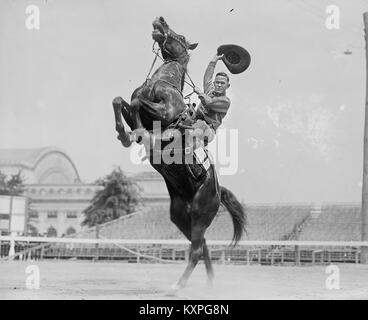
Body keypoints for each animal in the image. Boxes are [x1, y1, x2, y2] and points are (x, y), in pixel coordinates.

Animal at [110, 18, 246, 292]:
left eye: (180, 36)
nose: (159, 20)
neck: (162, 83)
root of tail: (218, 192)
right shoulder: (133, 106)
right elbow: (121, 101)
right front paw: (124, 133)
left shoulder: (163, 113)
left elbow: (139, 105)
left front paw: (135, 134)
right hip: (180, 217)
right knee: (202, 246)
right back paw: (209, 284)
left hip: (200, 215)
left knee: (196, 250)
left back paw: (177, 287)